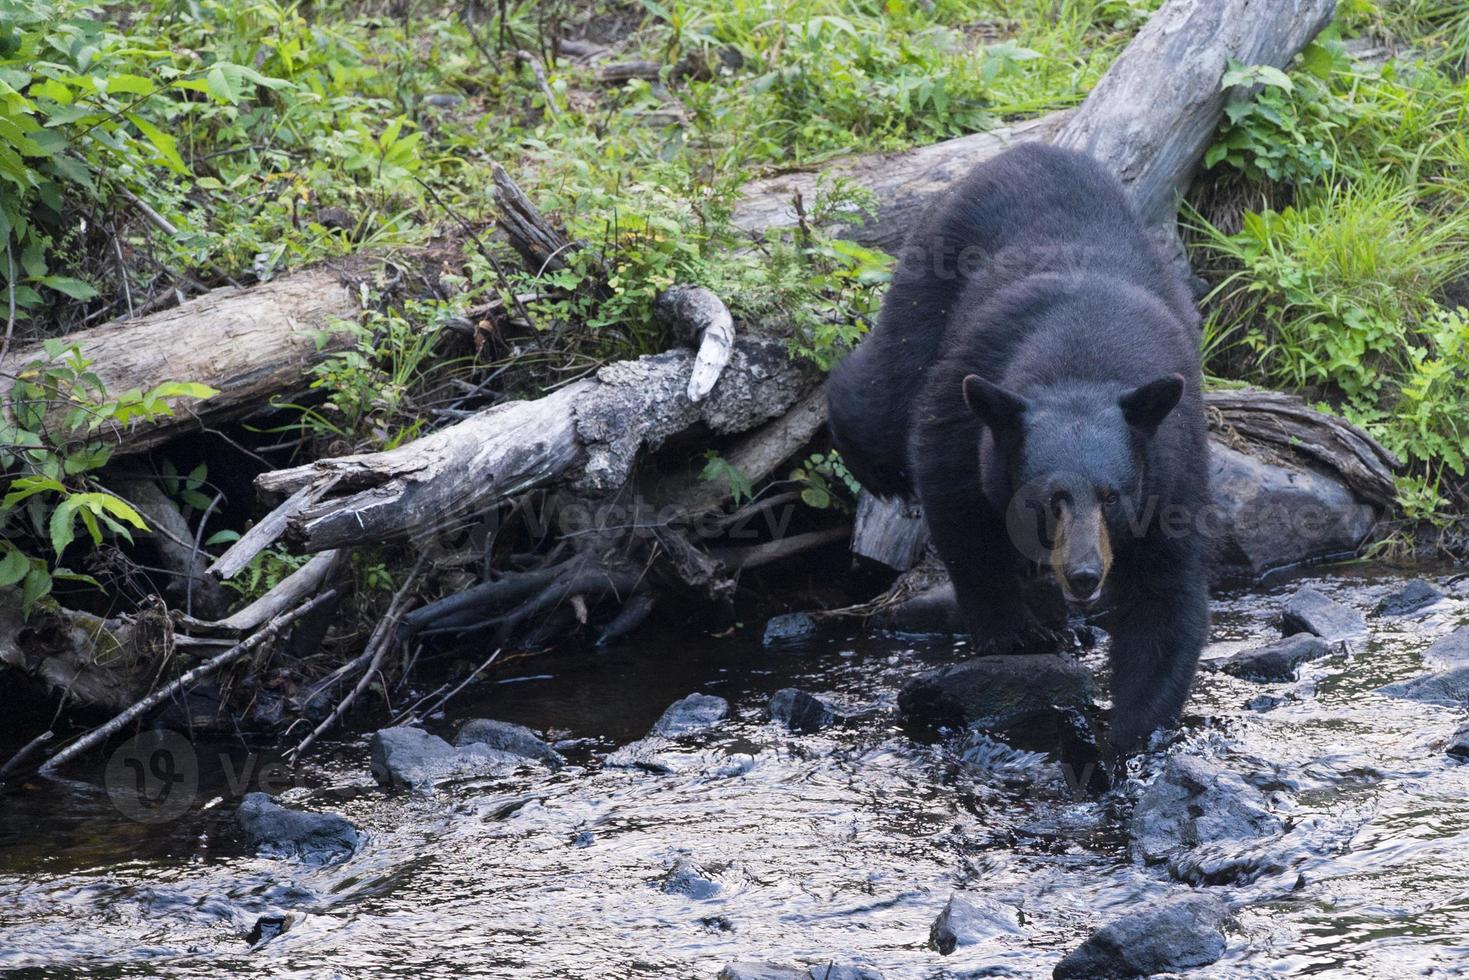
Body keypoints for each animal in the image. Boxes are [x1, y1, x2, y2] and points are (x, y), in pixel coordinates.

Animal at [834, 143, 1210, 752]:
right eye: (1046, 499)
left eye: (1111, 497)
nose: (1083, 575)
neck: (1085, 355)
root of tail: (1029, 149)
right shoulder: (970, 401)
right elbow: (958, 505)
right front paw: (1012, 633)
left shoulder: (1173, 464)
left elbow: (1164, 594)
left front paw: (1126, 738)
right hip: (928, 277)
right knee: (879, 394)